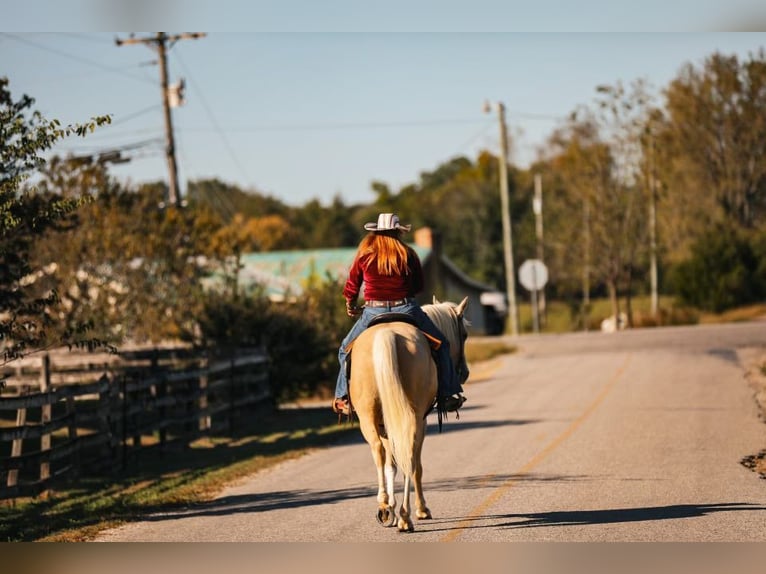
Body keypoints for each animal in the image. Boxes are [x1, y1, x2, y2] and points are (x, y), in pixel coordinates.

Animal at [348, 296, 469, 532]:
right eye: (465, 335)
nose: (466, 373)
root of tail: (387, 335)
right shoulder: (422, 421)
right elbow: (414, 466)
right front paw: (420, 510)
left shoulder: (386, 426)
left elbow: (391, 465)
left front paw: (391, 509)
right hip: (412, 418)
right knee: (410, 456)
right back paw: (406, 517)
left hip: (368, 417)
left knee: (378, 451)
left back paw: (384, 506)